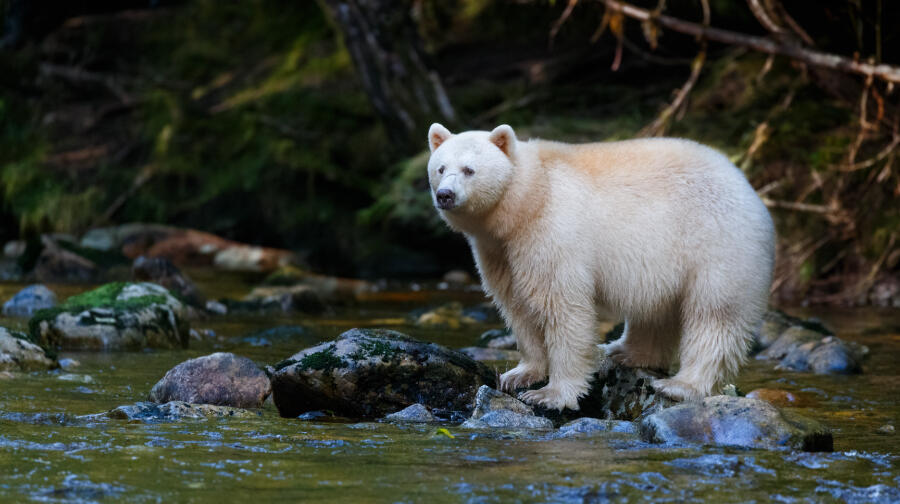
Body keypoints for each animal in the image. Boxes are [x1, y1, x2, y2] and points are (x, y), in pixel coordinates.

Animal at [428, 124, 772, 412]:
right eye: (440, 168)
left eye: (469, 170)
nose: (445, 195)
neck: (527, 198)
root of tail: (746, 185)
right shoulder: (499, 252)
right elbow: (518, 306)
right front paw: (519, 374)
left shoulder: (550, 233)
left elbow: (561, 307)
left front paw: (551, 394)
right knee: (655, 311)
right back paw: (624, 351)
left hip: (715, 243)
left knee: (715, 314)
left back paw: (681, 385)